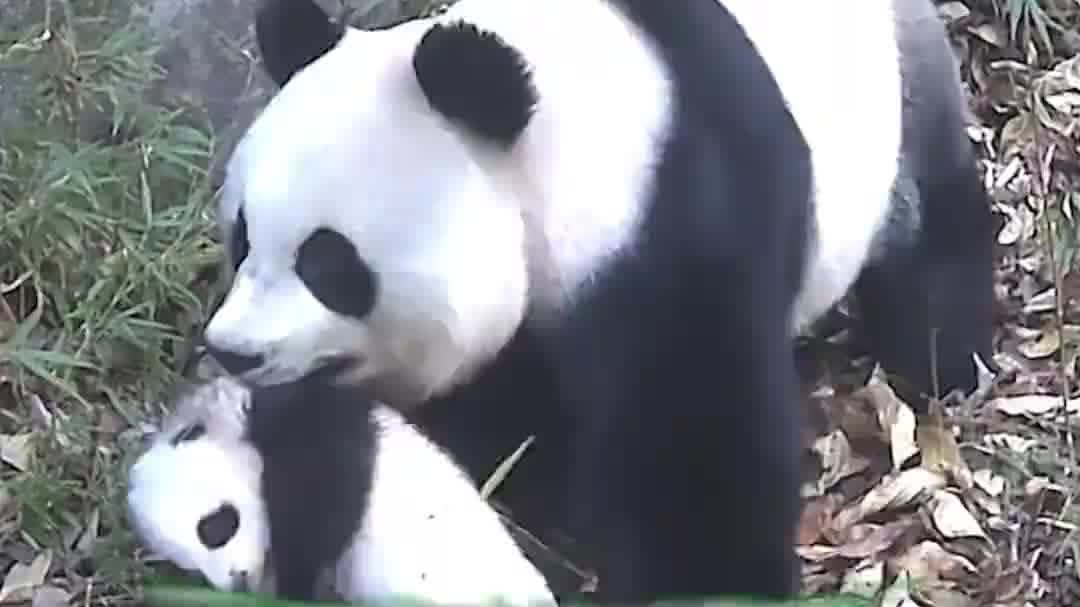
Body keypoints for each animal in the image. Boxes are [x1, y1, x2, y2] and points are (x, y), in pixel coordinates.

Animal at [202, 0, 994, 601]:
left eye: (328, 264)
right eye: (242, 238)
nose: (232, 350)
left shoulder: (678, 220)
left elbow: (694, 434)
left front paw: (706, 580)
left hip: (900, 103)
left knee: (931, 226)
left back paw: (942, 356)